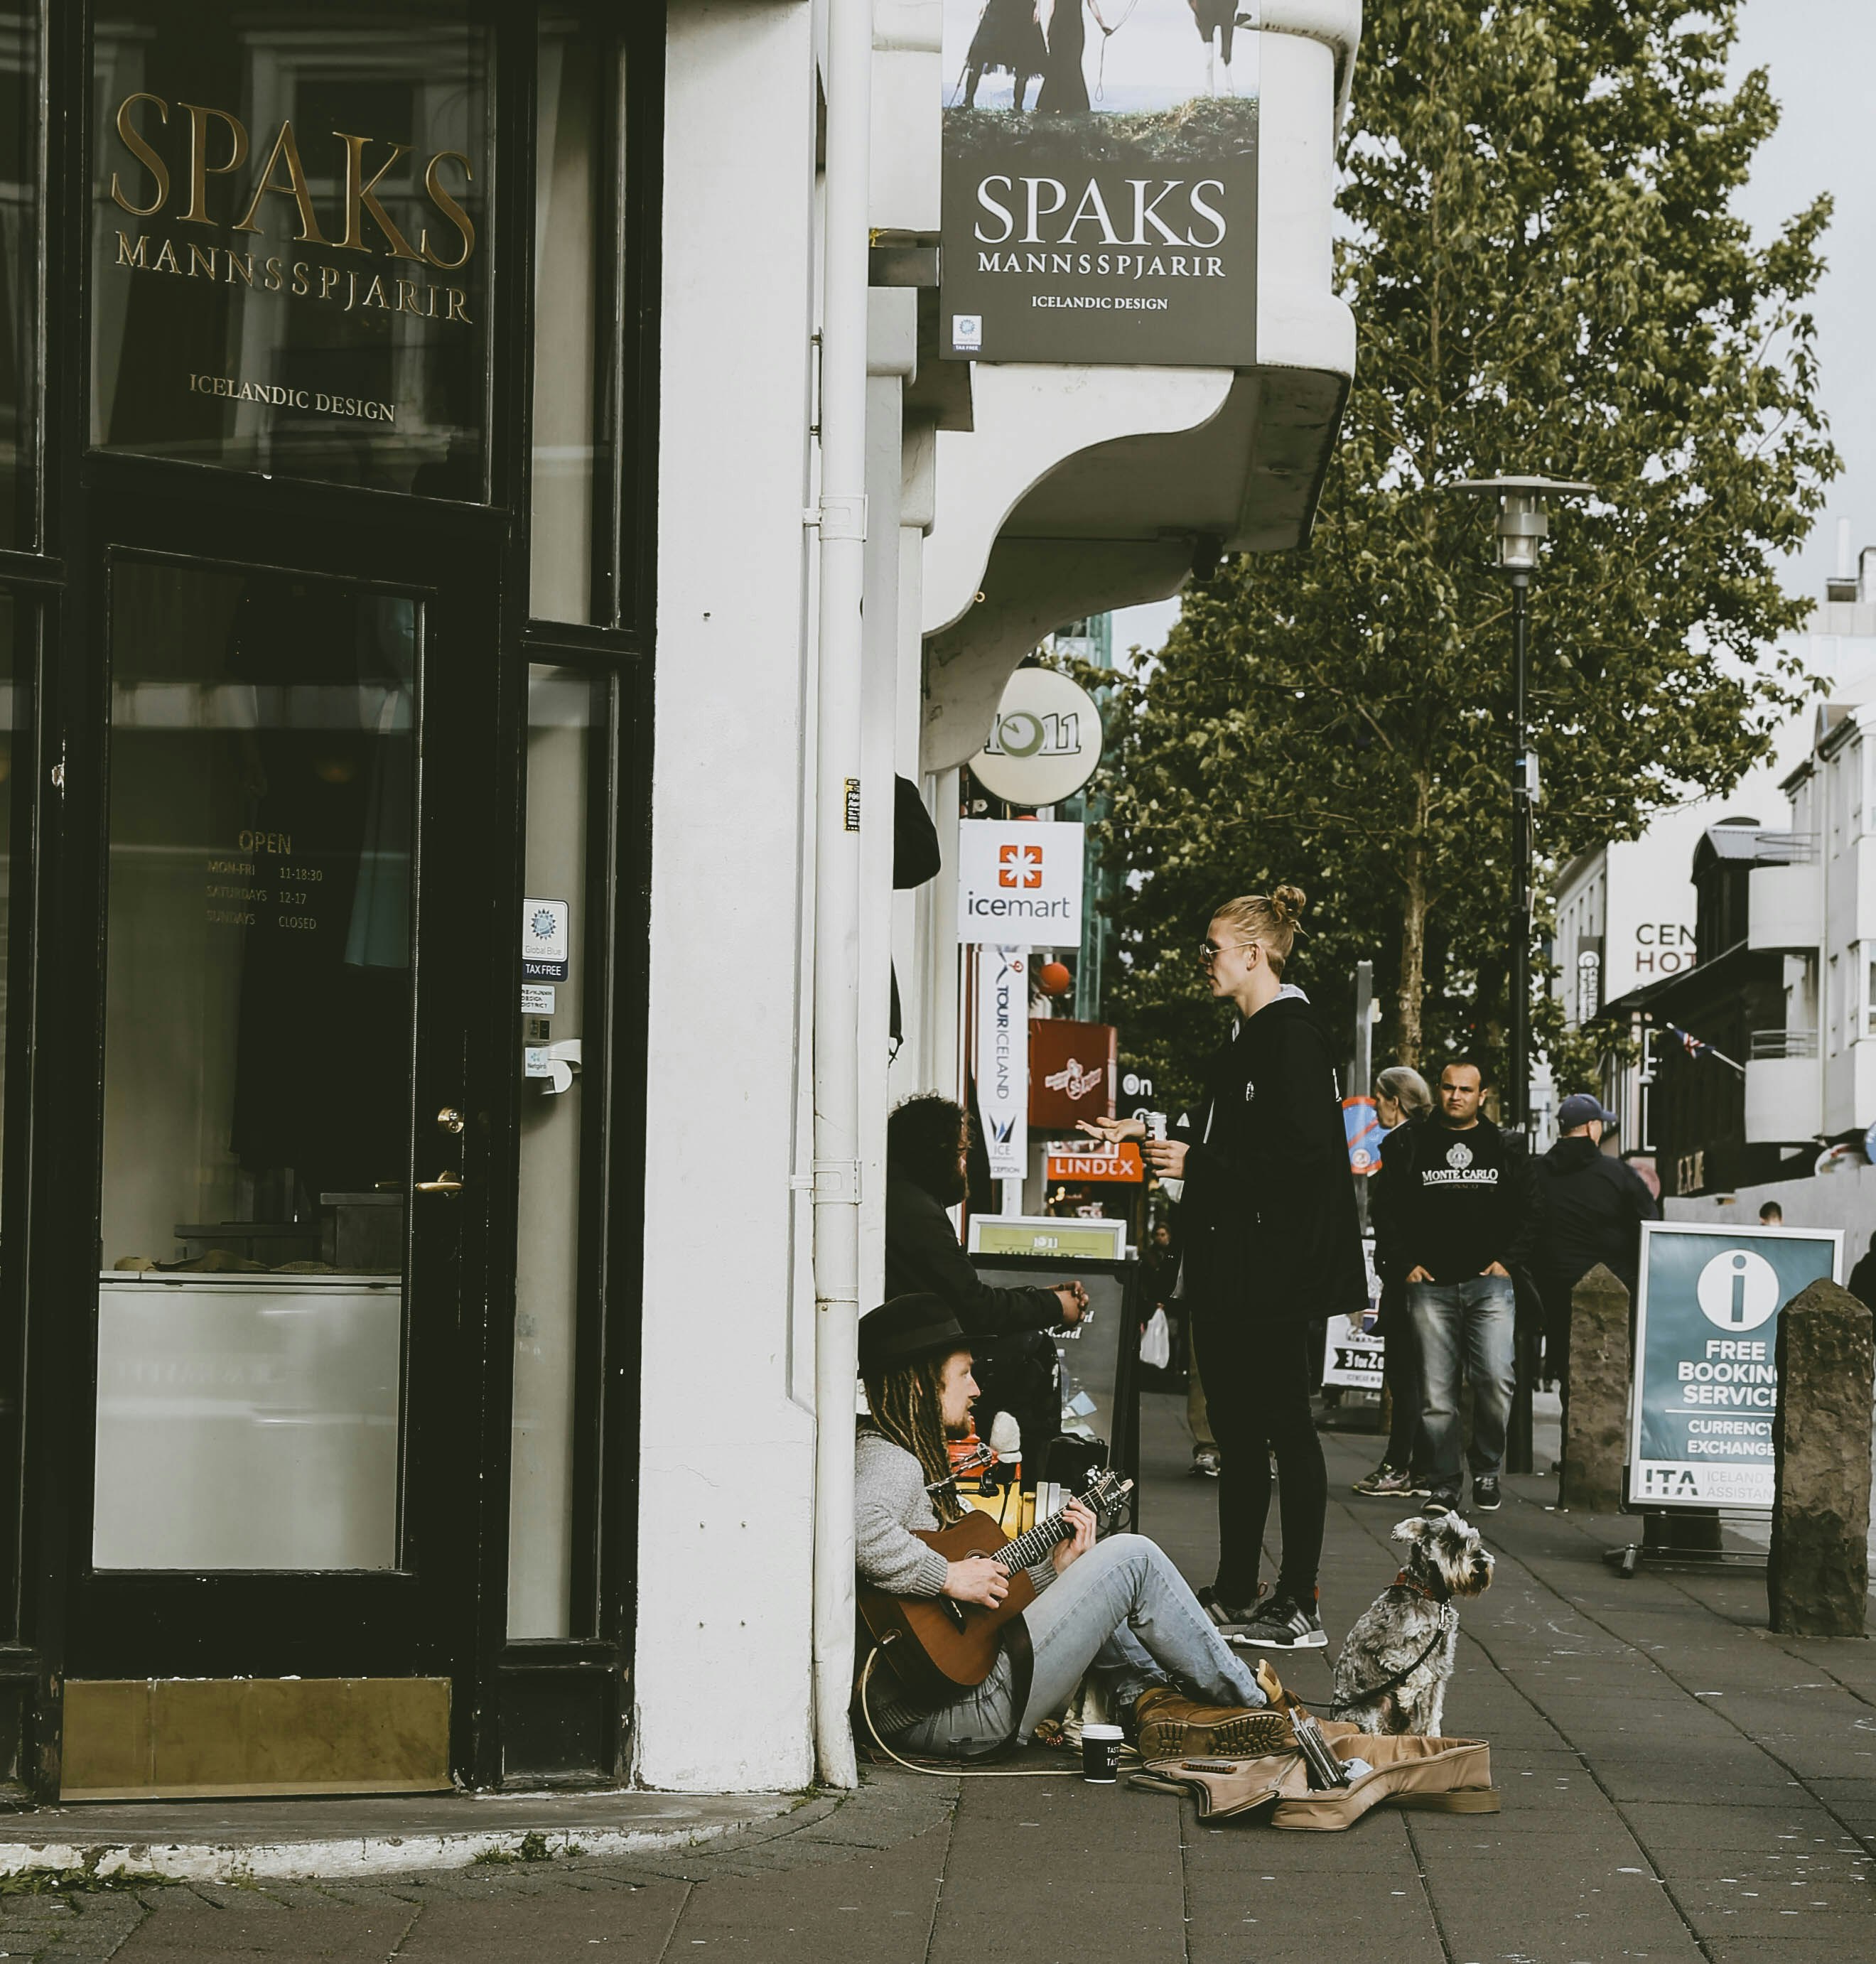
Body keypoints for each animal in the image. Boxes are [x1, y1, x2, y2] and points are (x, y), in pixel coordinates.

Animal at [1335, 1516, 1492, 1736]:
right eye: (1450, 1541)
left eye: (1475, 1540)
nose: (1481, 1563)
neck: (1429, 1594)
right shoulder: (1386, 1650)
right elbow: (1422, 1672)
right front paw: (1407, 1695)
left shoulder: (1442, 1668)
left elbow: (1434, 1716)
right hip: (1372, 1714)